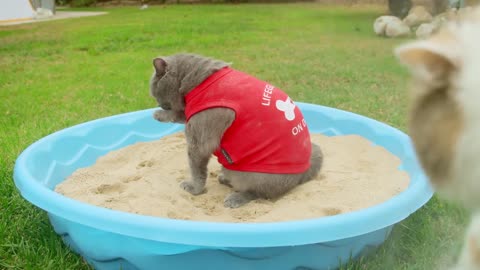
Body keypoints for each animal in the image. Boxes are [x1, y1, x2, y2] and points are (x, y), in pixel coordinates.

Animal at [149, 53, 322, 209]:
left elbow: (196, 168)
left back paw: (234, 198)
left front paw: (193, 188)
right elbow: (180, 114)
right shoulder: (190, 114)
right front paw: (159, 115)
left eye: (154, 91)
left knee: (258, 193)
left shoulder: (200, 139)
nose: (158, 104)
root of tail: (301, 175)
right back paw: (224, 180)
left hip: (254, 177)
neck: (199, 83)